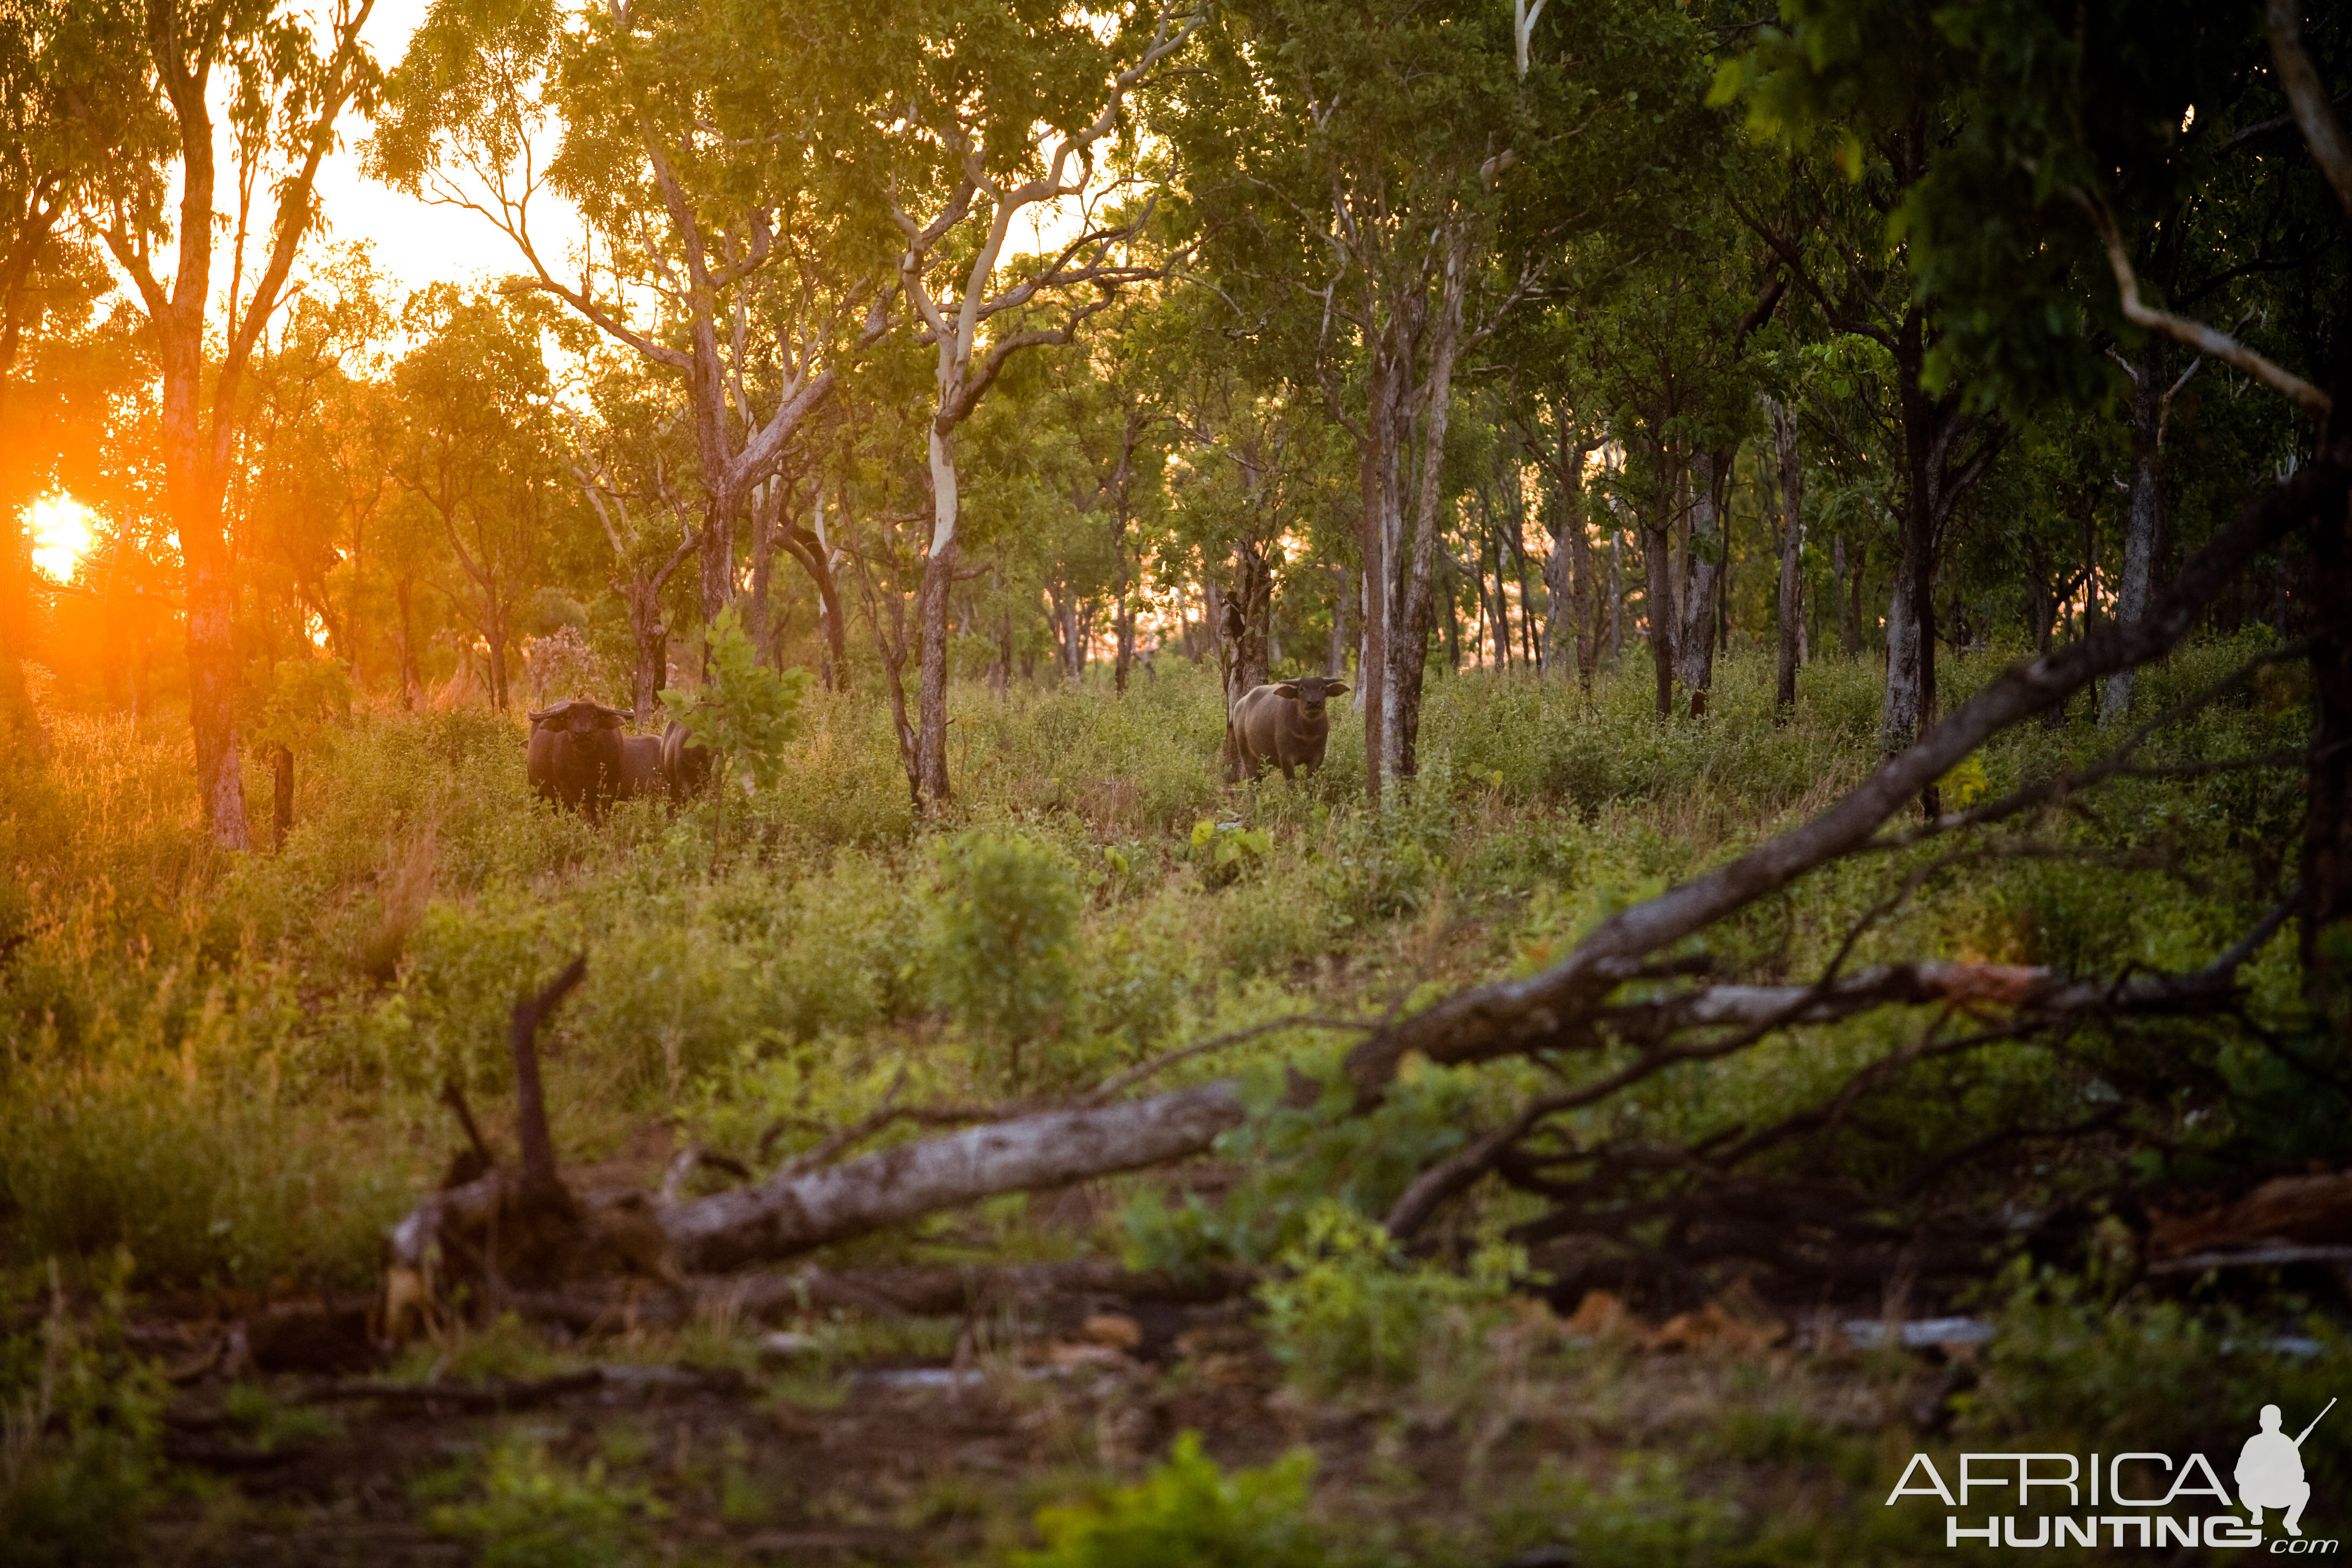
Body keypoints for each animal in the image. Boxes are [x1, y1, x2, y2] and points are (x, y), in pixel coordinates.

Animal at [1232, 677, 1345, 789]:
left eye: (1322, 688)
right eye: (1301, 689)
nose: (1313, 703)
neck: (1308, 735)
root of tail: (1239, 705)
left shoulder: (1318, 756)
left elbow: (1310, 784)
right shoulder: (1286, 758)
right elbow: (1291, 784)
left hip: (1263, 759)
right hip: (1246, 753)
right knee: (1252, 781)